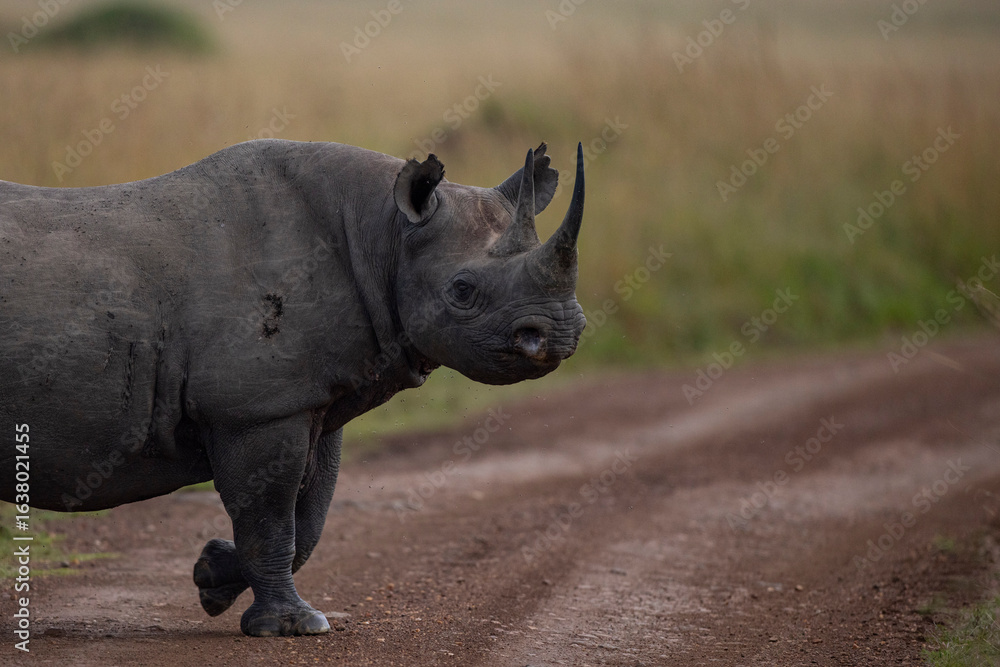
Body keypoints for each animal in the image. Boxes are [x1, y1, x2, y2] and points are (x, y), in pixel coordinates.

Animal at [0, 139, 586, 636]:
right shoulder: (258, 407)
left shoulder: (309, 395)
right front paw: (292, 627)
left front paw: (210, 576)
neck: (385, 233)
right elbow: (271, 517)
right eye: (462, 290)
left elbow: (309, 520)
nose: (557, 333)